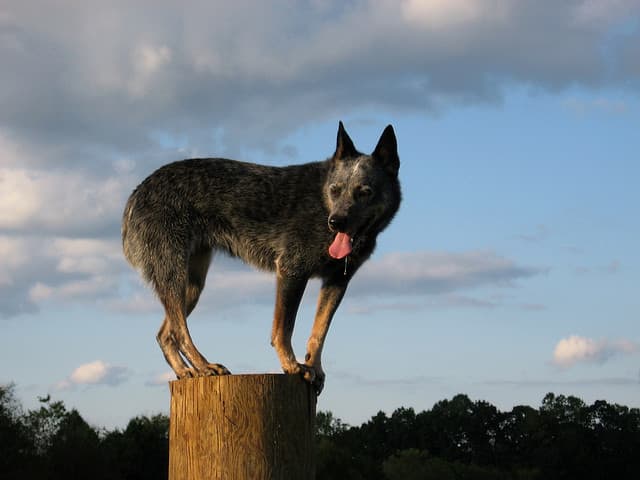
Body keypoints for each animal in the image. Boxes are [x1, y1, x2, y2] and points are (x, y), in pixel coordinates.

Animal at [121, 122, 400, 392]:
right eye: (335, 190)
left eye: (364, 192)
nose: (336, 222)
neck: (323, 203)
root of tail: (138, 192)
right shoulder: (291, 271)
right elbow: (284, 328)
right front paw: (291, 365)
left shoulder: (337, 282)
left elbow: (319, 332)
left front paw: (315, 368)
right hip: (174, 274)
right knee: (179, 331)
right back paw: (204, 366)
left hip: (192, 284)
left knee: (165, 334)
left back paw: (186, 371)